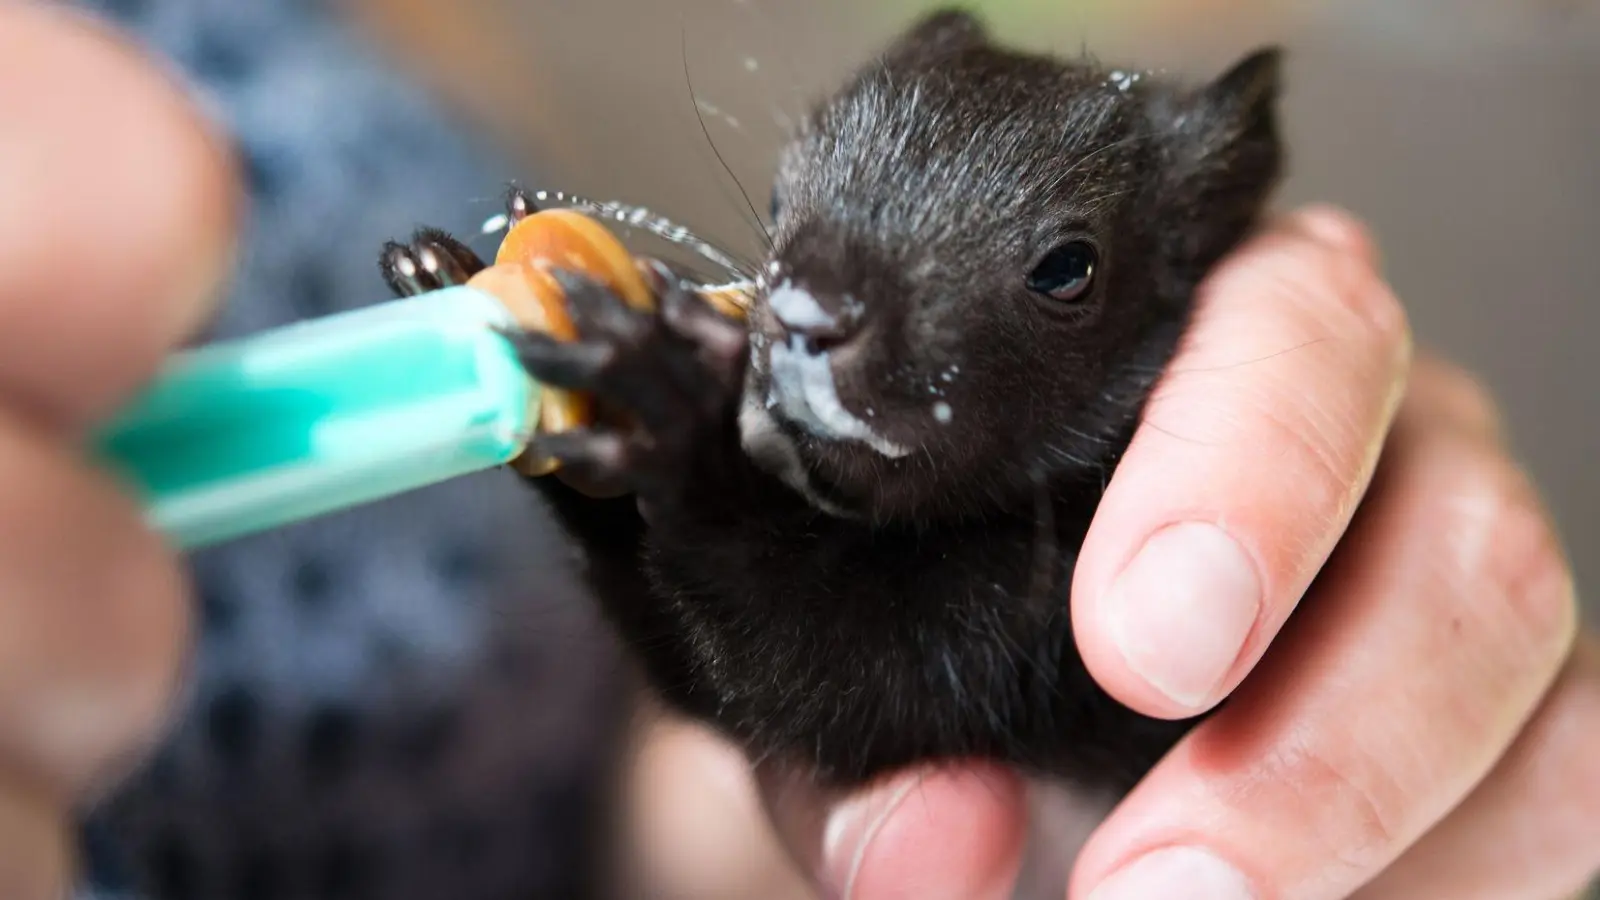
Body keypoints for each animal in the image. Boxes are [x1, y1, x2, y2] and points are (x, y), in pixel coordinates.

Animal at [377, 5, 1286, 791]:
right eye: (780, 197)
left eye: (1069, 269)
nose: (806, 312)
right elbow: (706, 686)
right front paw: (455, 281)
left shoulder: (1041, 638)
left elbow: (827, 680)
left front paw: (671, 414)